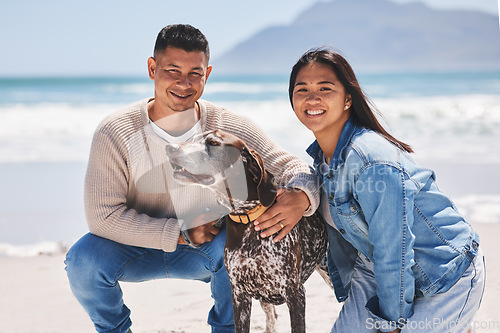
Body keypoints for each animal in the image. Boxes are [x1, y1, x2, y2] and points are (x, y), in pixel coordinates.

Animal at [165, 130, 328, 332]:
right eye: (191, 139)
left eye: (213, 143)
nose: (170, 148)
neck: (247, 218)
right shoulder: (239, 295)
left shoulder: (294, 293)